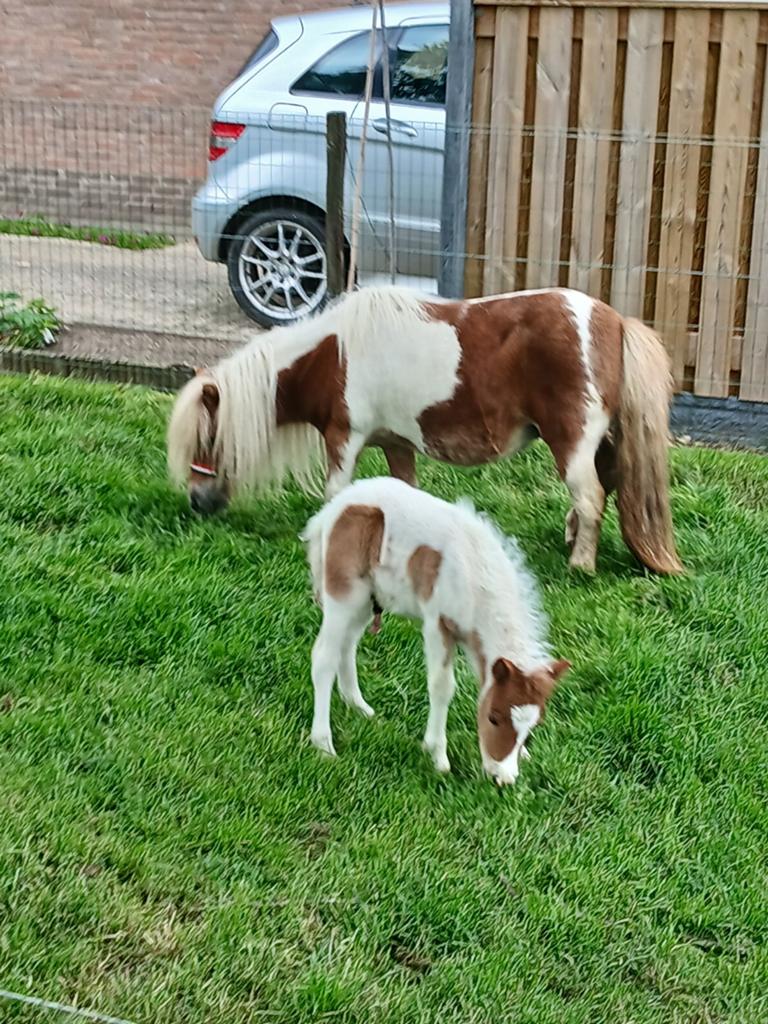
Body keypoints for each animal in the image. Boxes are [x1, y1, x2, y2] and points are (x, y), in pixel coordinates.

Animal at [167, 285, 682, 575]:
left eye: (208, 439)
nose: (197, 502)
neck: (330, 354)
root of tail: (615, 320)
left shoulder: (344, 438)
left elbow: (337, 493)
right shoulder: (396, 444)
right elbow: (403, 495)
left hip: (571, 442)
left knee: (590, 496)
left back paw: (581, 565)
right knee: (602, 488)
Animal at [301, 476, 570, 784]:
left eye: (535, 725)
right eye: (493, 717)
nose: (502, 778)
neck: (474, 575)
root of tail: (332, 509)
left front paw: (522, 754)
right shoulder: (437, 623)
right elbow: (442, 686)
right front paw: (438, 756)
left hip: (367, 598)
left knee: (347, 645)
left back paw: (358, 706)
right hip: (345, 592)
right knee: (324, 657)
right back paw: (323, 744)